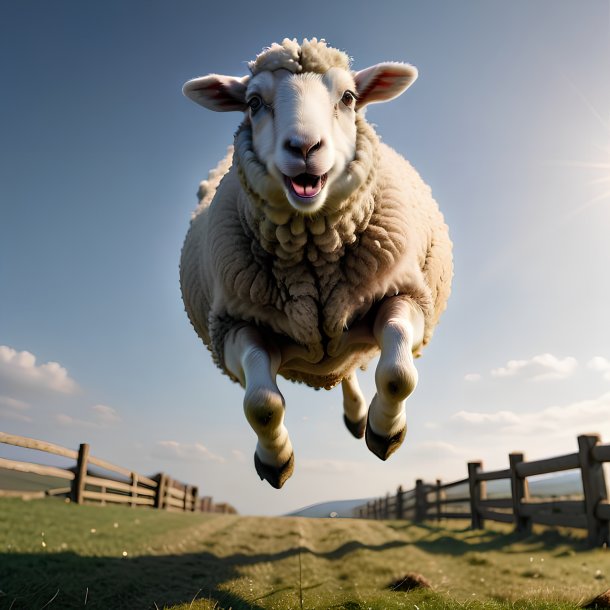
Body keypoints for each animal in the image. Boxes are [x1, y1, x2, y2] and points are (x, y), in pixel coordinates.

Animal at [180, 38, 452, 486]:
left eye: (349, 97)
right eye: (253, 102)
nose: (305, 148)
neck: (314, 263)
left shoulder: (405, 292)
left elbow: (397, 374)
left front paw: (384, 431)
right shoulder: (234, 325)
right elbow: (262, 403)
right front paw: (275, 461)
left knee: (350, 369)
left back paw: (359, 418)